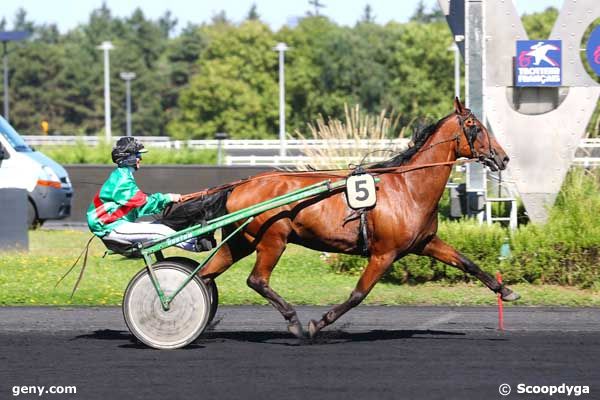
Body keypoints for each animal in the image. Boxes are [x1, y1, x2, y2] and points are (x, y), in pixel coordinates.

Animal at [161, 97, 520, 338]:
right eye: (475, 127)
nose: (503, 157)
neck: (408, 187)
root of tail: (240, 185)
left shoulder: (425, 242)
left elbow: (467, 262)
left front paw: (506, 291)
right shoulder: (384, 253)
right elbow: (358, 294)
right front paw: (317, 323)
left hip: (242, 242)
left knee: (204, 275)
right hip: (272, 240)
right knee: (256, 280)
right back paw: (293, 321)